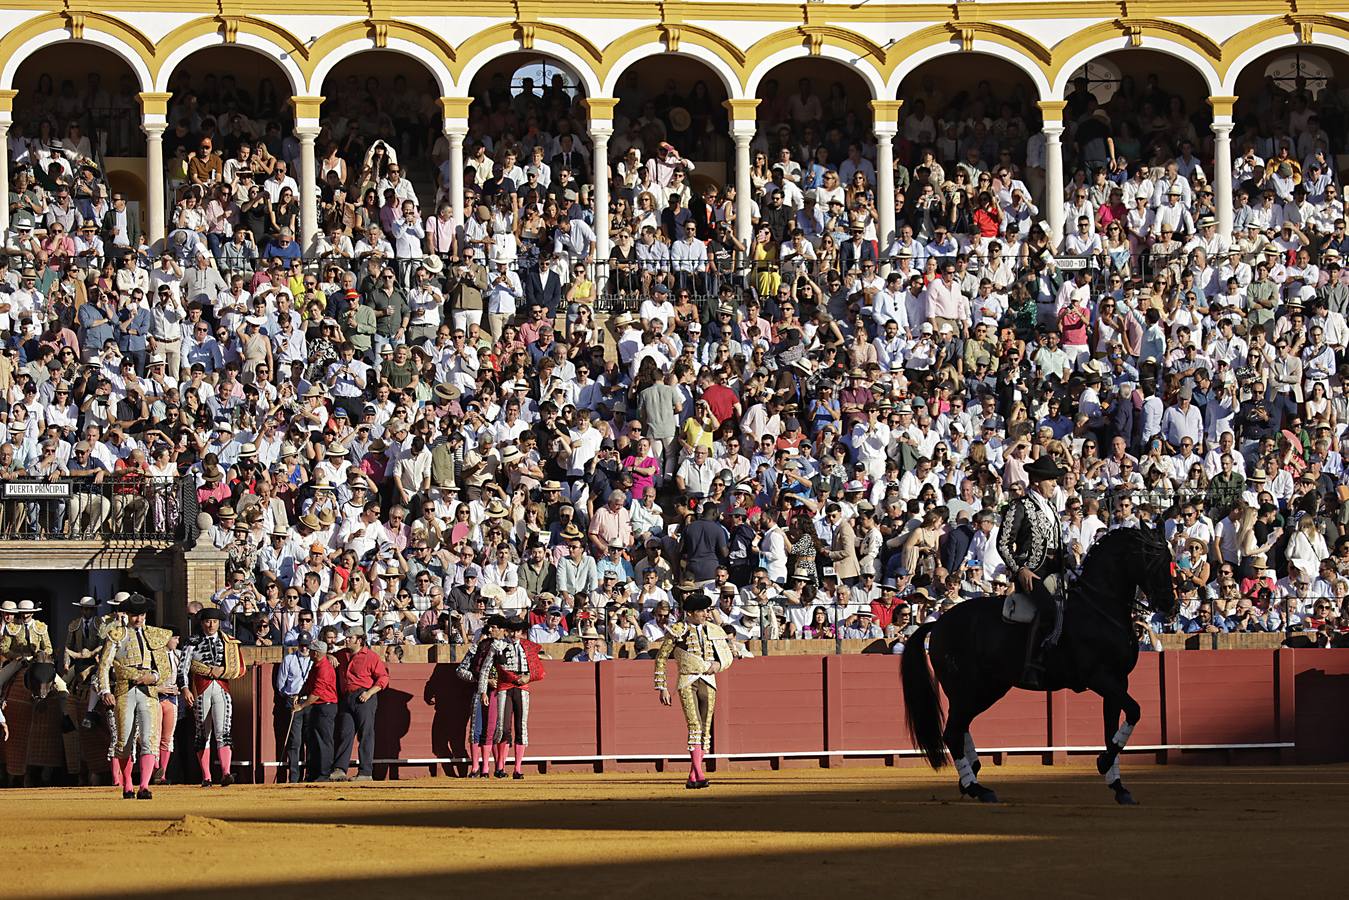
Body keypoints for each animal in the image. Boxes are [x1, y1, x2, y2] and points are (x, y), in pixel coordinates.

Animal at [901, 523, 1176, 804]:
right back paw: (976, 787)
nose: (1170, 605)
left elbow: (1112, 729)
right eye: (1151, 559)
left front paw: (1118, 785)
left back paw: (973, 778)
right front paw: (1103, 764)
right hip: (969, 690)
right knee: (952, 733)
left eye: (1169, 559)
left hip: (984, 690)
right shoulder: (1100, 678)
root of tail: (938, 624)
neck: (1099, 608)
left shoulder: (1118, 681)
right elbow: (1135, 711)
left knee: (960, 727)